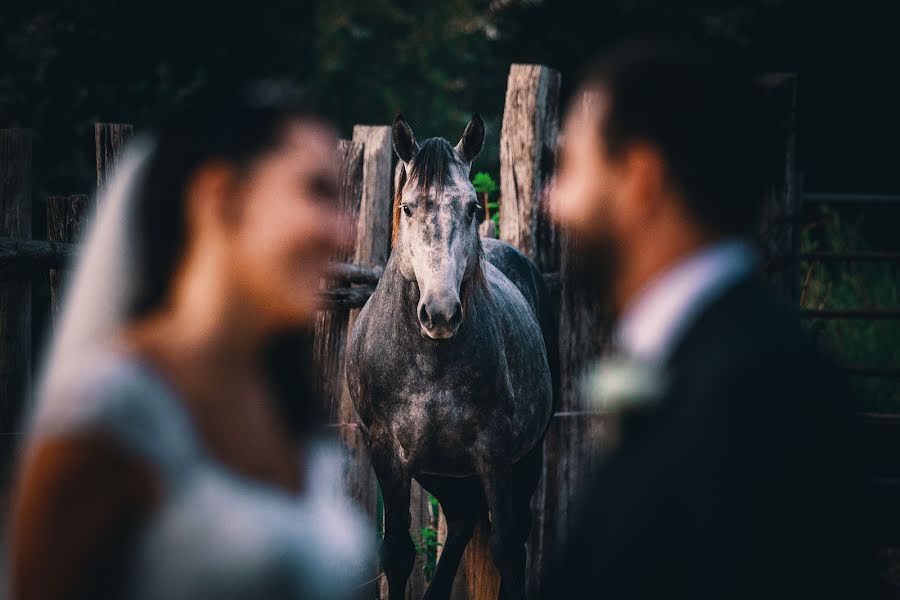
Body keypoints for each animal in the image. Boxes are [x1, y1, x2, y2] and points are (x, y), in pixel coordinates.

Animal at [348, 115, 552, 596]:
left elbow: (507, 550)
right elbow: (398, 552)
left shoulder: (496, 454)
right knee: (460, 521)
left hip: (525, 459)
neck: (431, 366)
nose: (440, 313)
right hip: (439, 472)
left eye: (472, 207)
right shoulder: (388, 454)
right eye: (407, 207)